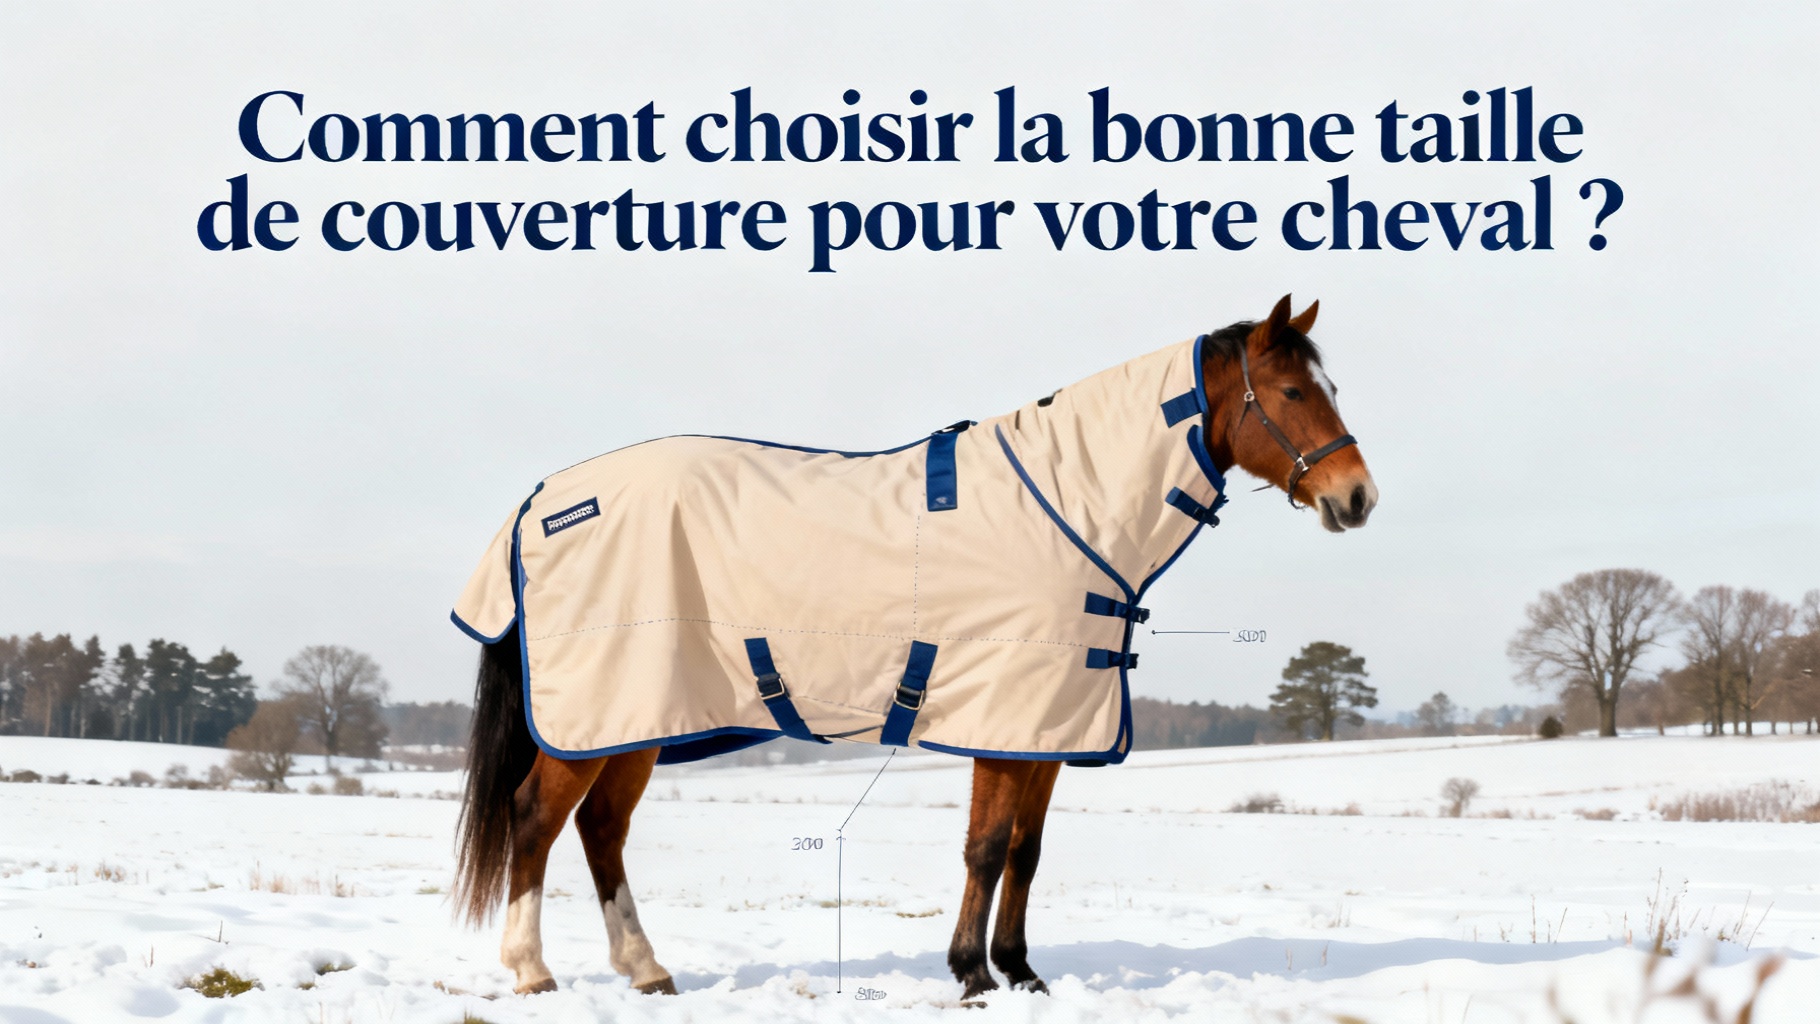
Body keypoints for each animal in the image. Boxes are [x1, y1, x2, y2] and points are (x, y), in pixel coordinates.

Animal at [451, 294, 1377, 999]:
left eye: (1331, 386)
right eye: (1292, 391)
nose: (1357, 496)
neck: (1065, 505)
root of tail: (543, 499)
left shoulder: (1045, 727)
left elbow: (1027, 853)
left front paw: (1022, 972)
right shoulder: (1001, 721)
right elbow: (987, 848)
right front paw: (971, 975)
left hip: (638, 719)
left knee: (601, 828)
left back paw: (646, 969)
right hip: (595, 711)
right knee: (535, 818)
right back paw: (532, 971)